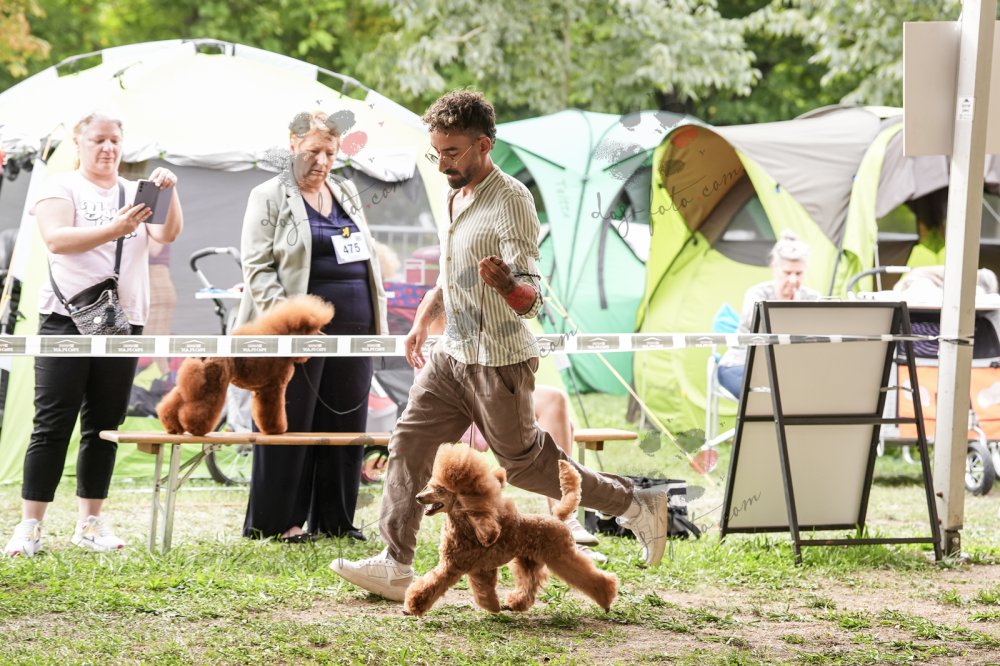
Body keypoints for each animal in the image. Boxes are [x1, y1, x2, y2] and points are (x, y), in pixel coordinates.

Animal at [156, 294, 334, 435]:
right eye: (313, 330)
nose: (327, 337)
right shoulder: (273, 387)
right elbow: (273, 410)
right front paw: (276, 430)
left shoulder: (261, 390)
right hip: (214, 382)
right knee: (202, 407)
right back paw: (196, 429)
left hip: (197, 380)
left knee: (175, 401)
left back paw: (172, 426)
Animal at [403, 444, 618, 617]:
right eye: (429, 486)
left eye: (439, 489)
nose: (418, 497)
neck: (467, 526)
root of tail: (557, 518)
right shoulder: (480, 568)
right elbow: (483, 591)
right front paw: (493, 607)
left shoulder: (452, 567)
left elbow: (430, 585)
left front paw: (413, 606)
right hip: (528, 561)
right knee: (530, 585)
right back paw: (515, 604)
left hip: (560, 556)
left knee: (588, 575)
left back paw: (606, 599)